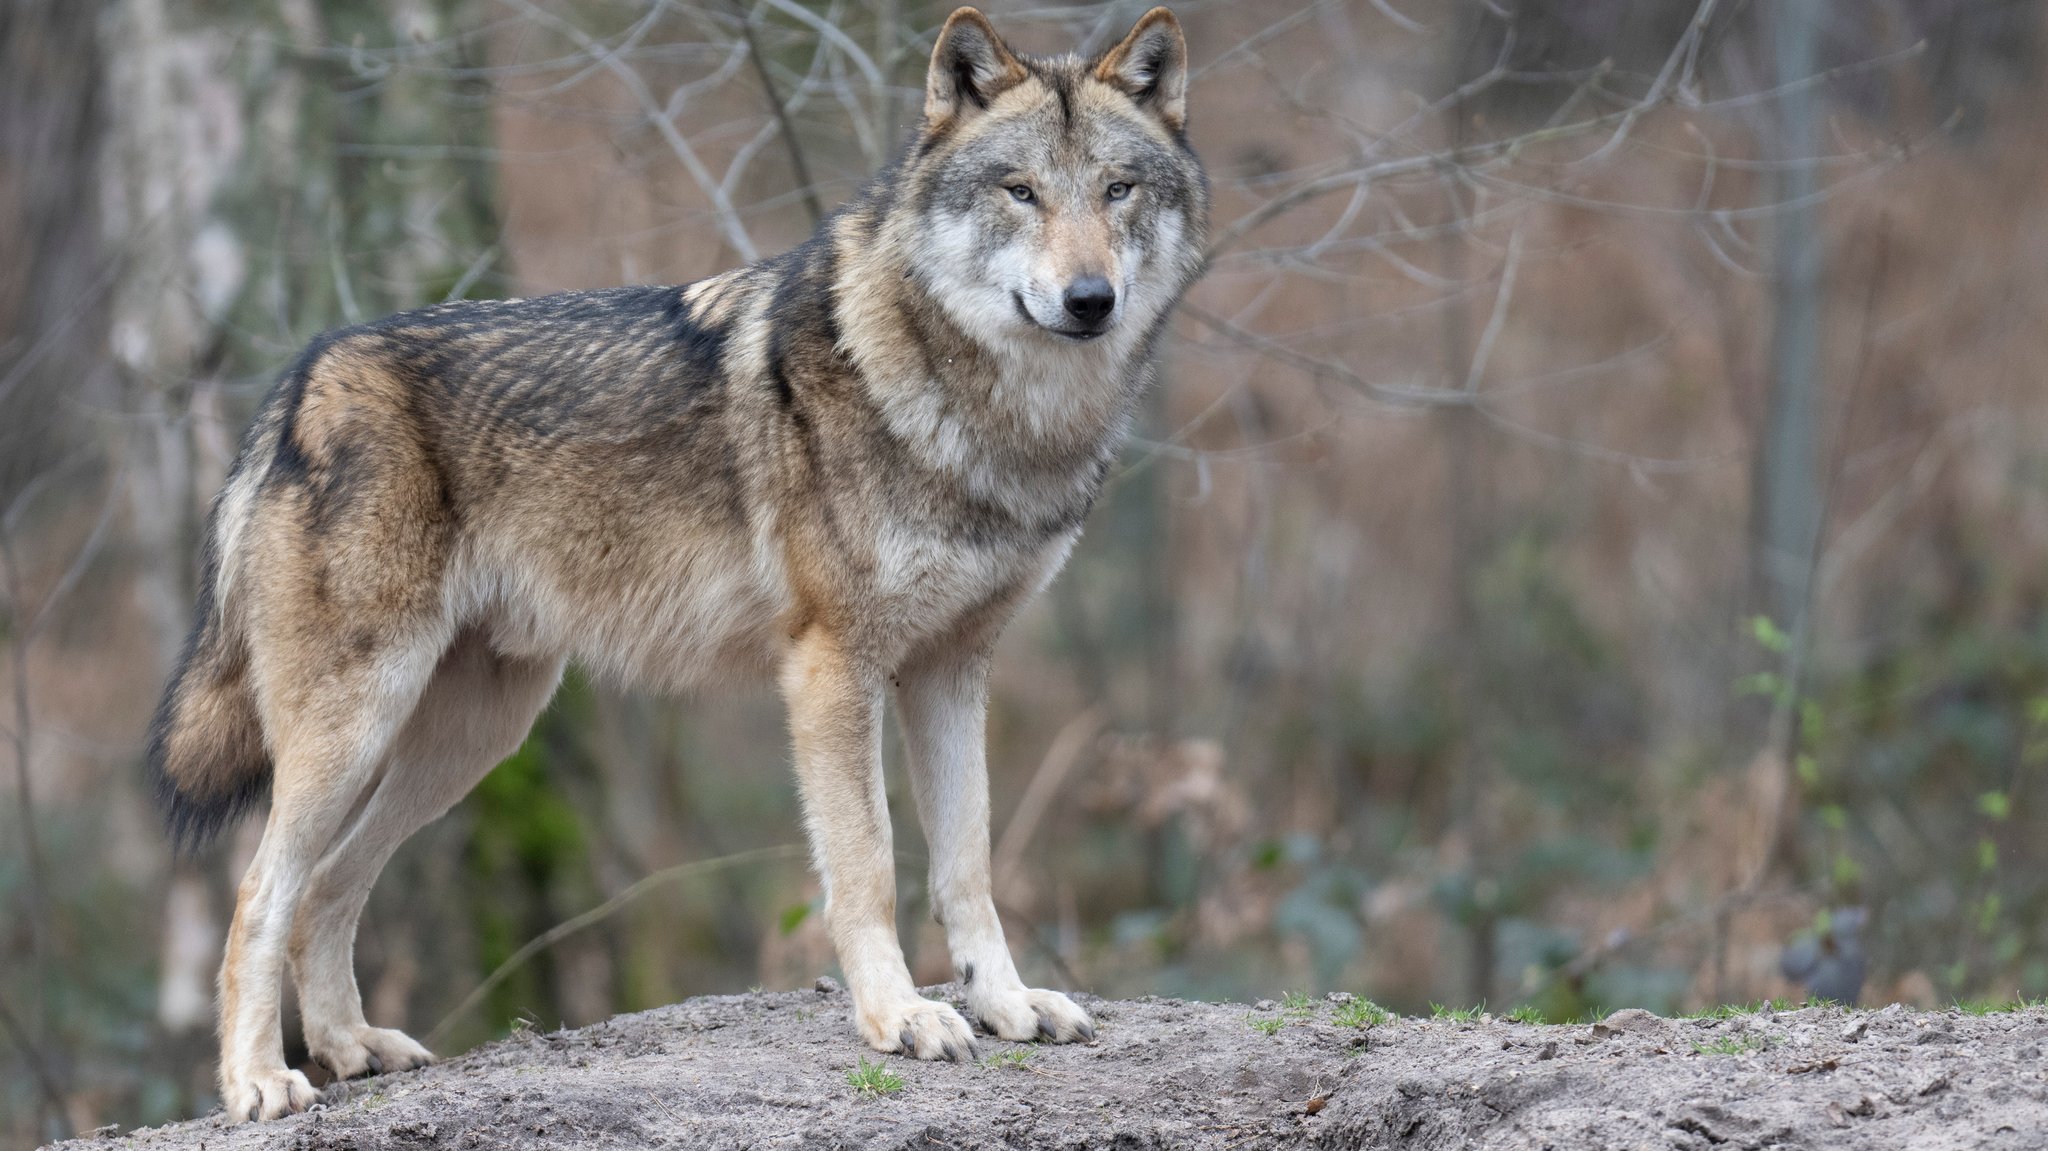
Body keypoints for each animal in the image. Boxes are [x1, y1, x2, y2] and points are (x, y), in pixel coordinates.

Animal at [148, 6, 1196, 1122]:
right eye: (1020, 191)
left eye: (1116, 189)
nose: (1089, 299)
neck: (990, 420)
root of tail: (300, 379)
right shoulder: (833, 668)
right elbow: (868, 865)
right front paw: (899, 1017)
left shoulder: (951, 671)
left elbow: (967, 865)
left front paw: (1004, 1003)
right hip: (358, 727)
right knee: (260, 893)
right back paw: (259, 1079)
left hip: (470, 737)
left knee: (329, 887)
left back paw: (353, 1047)